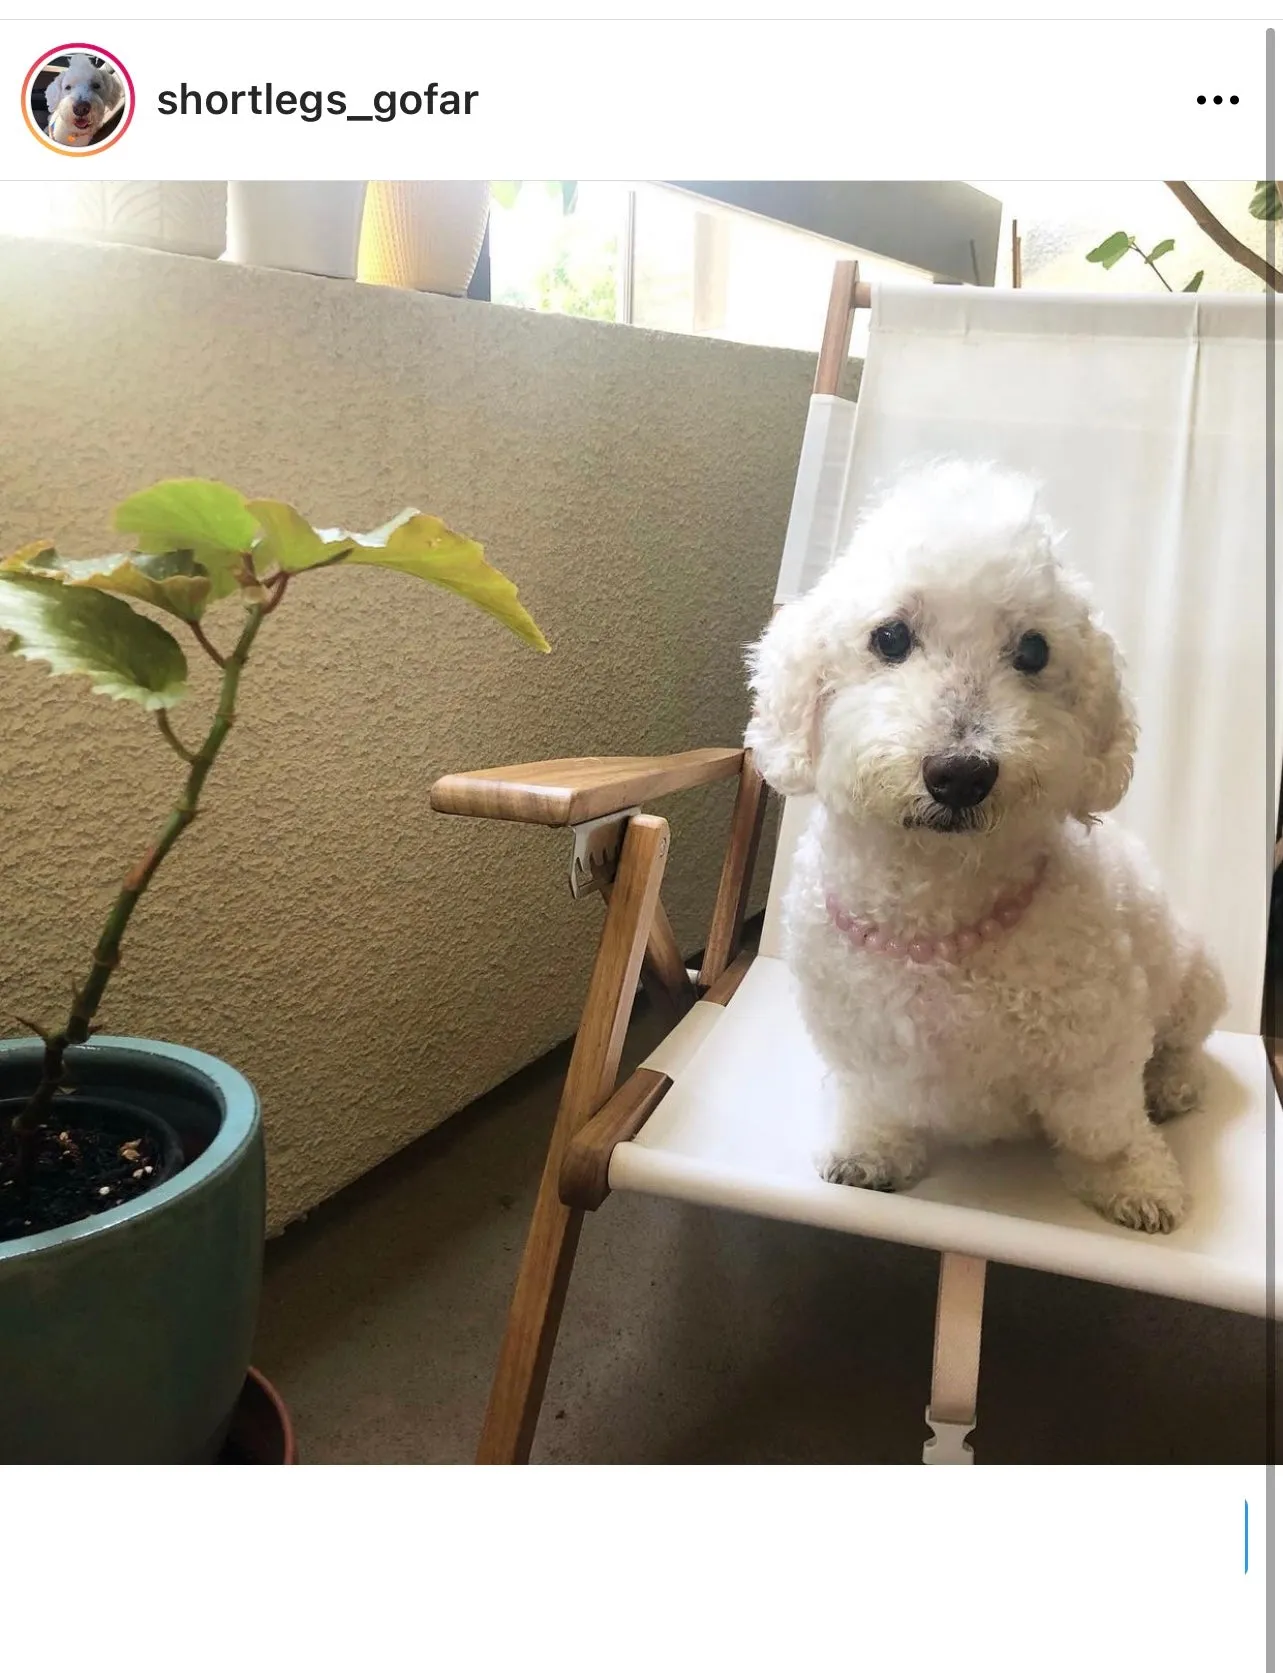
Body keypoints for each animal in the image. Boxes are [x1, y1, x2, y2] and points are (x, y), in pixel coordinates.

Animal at [749, 458, 1231, 1231]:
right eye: (889, 637)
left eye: (1033, 651)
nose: (960, 774)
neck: (936, 907)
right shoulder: (864, 1044)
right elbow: (878, 1105)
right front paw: (868, 1153)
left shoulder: (1095, 1050)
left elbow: (1104, 1128)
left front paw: (1137, 1181)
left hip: (1195, 977)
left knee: (1183, 1048)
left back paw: (1171, 1084)